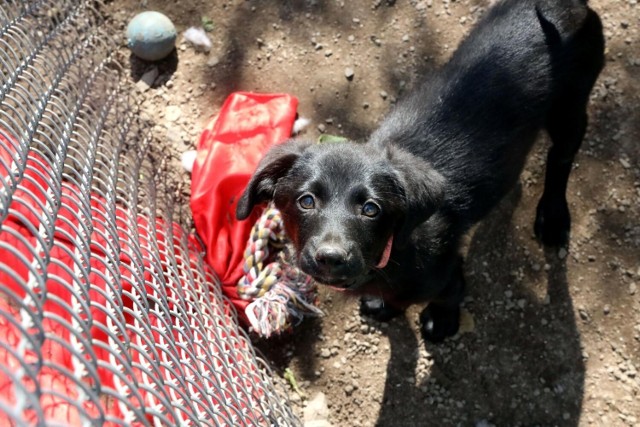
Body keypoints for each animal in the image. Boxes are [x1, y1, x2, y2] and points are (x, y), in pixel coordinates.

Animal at [236, 0, 604, 342]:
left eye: (371, 209)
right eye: (306, 201)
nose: (330, 257)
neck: (390, 254)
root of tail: (561, 6)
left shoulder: (446, 269)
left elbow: (449, 294)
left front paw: (441, 322)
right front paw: (384, 305)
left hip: (571, 105)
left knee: (561, 159)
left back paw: (553, 216)